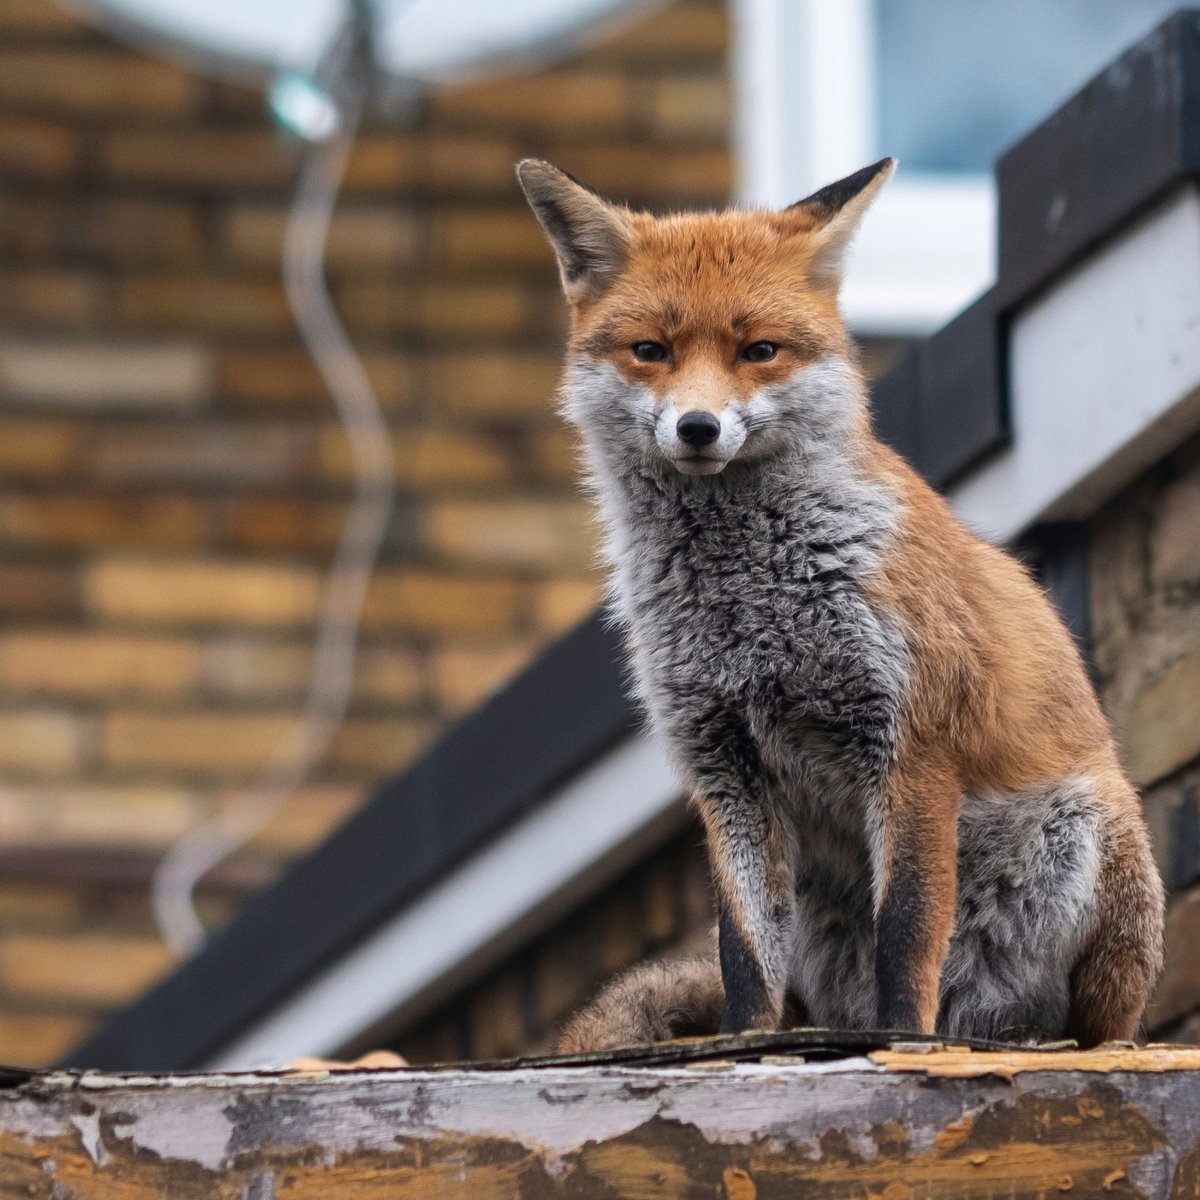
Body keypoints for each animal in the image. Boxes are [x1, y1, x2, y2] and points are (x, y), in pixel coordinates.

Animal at [516, 156, 1165, 1051]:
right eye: (652, 351)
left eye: (759, 351)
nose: (697, 427)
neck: (750, 607)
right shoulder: (724, 767)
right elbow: (744, 956)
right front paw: (744, 1046)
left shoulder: (911, 745)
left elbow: (908, 933)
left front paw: (903, 1043)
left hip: (1089, 833)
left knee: (1088, 1021)